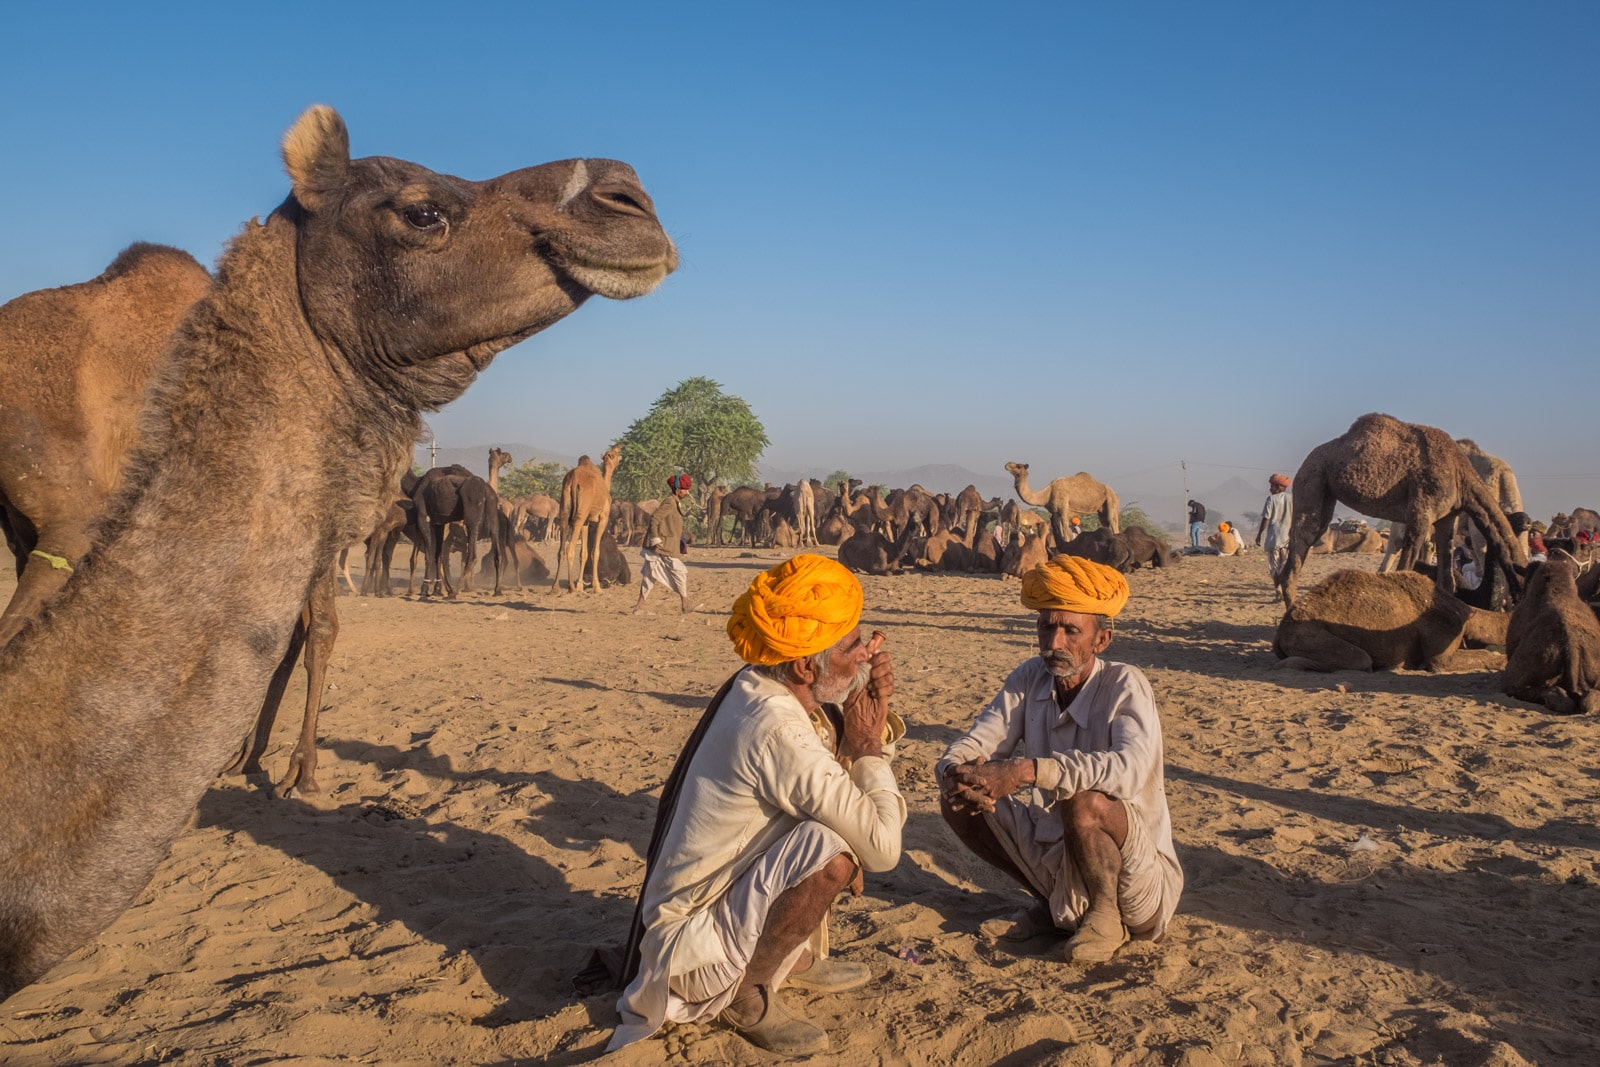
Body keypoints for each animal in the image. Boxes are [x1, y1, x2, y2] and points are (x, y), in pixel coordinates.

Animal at [553, 441, 620, 591]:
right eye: (613, 454)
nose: (619, 447)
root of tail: (573, 479)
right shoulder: (603, 518)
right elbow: (595, 552)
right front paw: (596, 587)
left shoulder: (586, 522)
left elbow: (583, 553)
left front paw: (580, 585)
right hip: (580, 513)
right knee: (569, 548)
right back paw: (571, 587)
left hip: (565, 509)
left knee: (561, 549)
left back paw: (555, 587)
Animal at [998, 460, 1126, 547]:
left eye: (1018, 466)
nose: (1007, 464)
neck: (1048, 493)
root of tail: (1116, 494)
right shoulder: (1055, 513)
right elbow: (1059, 531)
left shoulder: (1064, 509)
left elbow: (1066, 532)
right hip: (1102, 511)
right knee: (1106, 524)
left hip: (1111, 501)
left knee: (1114, 524)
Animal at [1273, 412, 1523, 604]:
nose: (1513, 605)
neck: (1460, 474)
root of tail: (1306, 462)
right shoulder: (1422, 510)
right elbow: (1406, 568)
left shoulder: (1447, 516)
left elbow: (1446, 581)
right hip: (1313, 478)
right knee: (1302, 542)